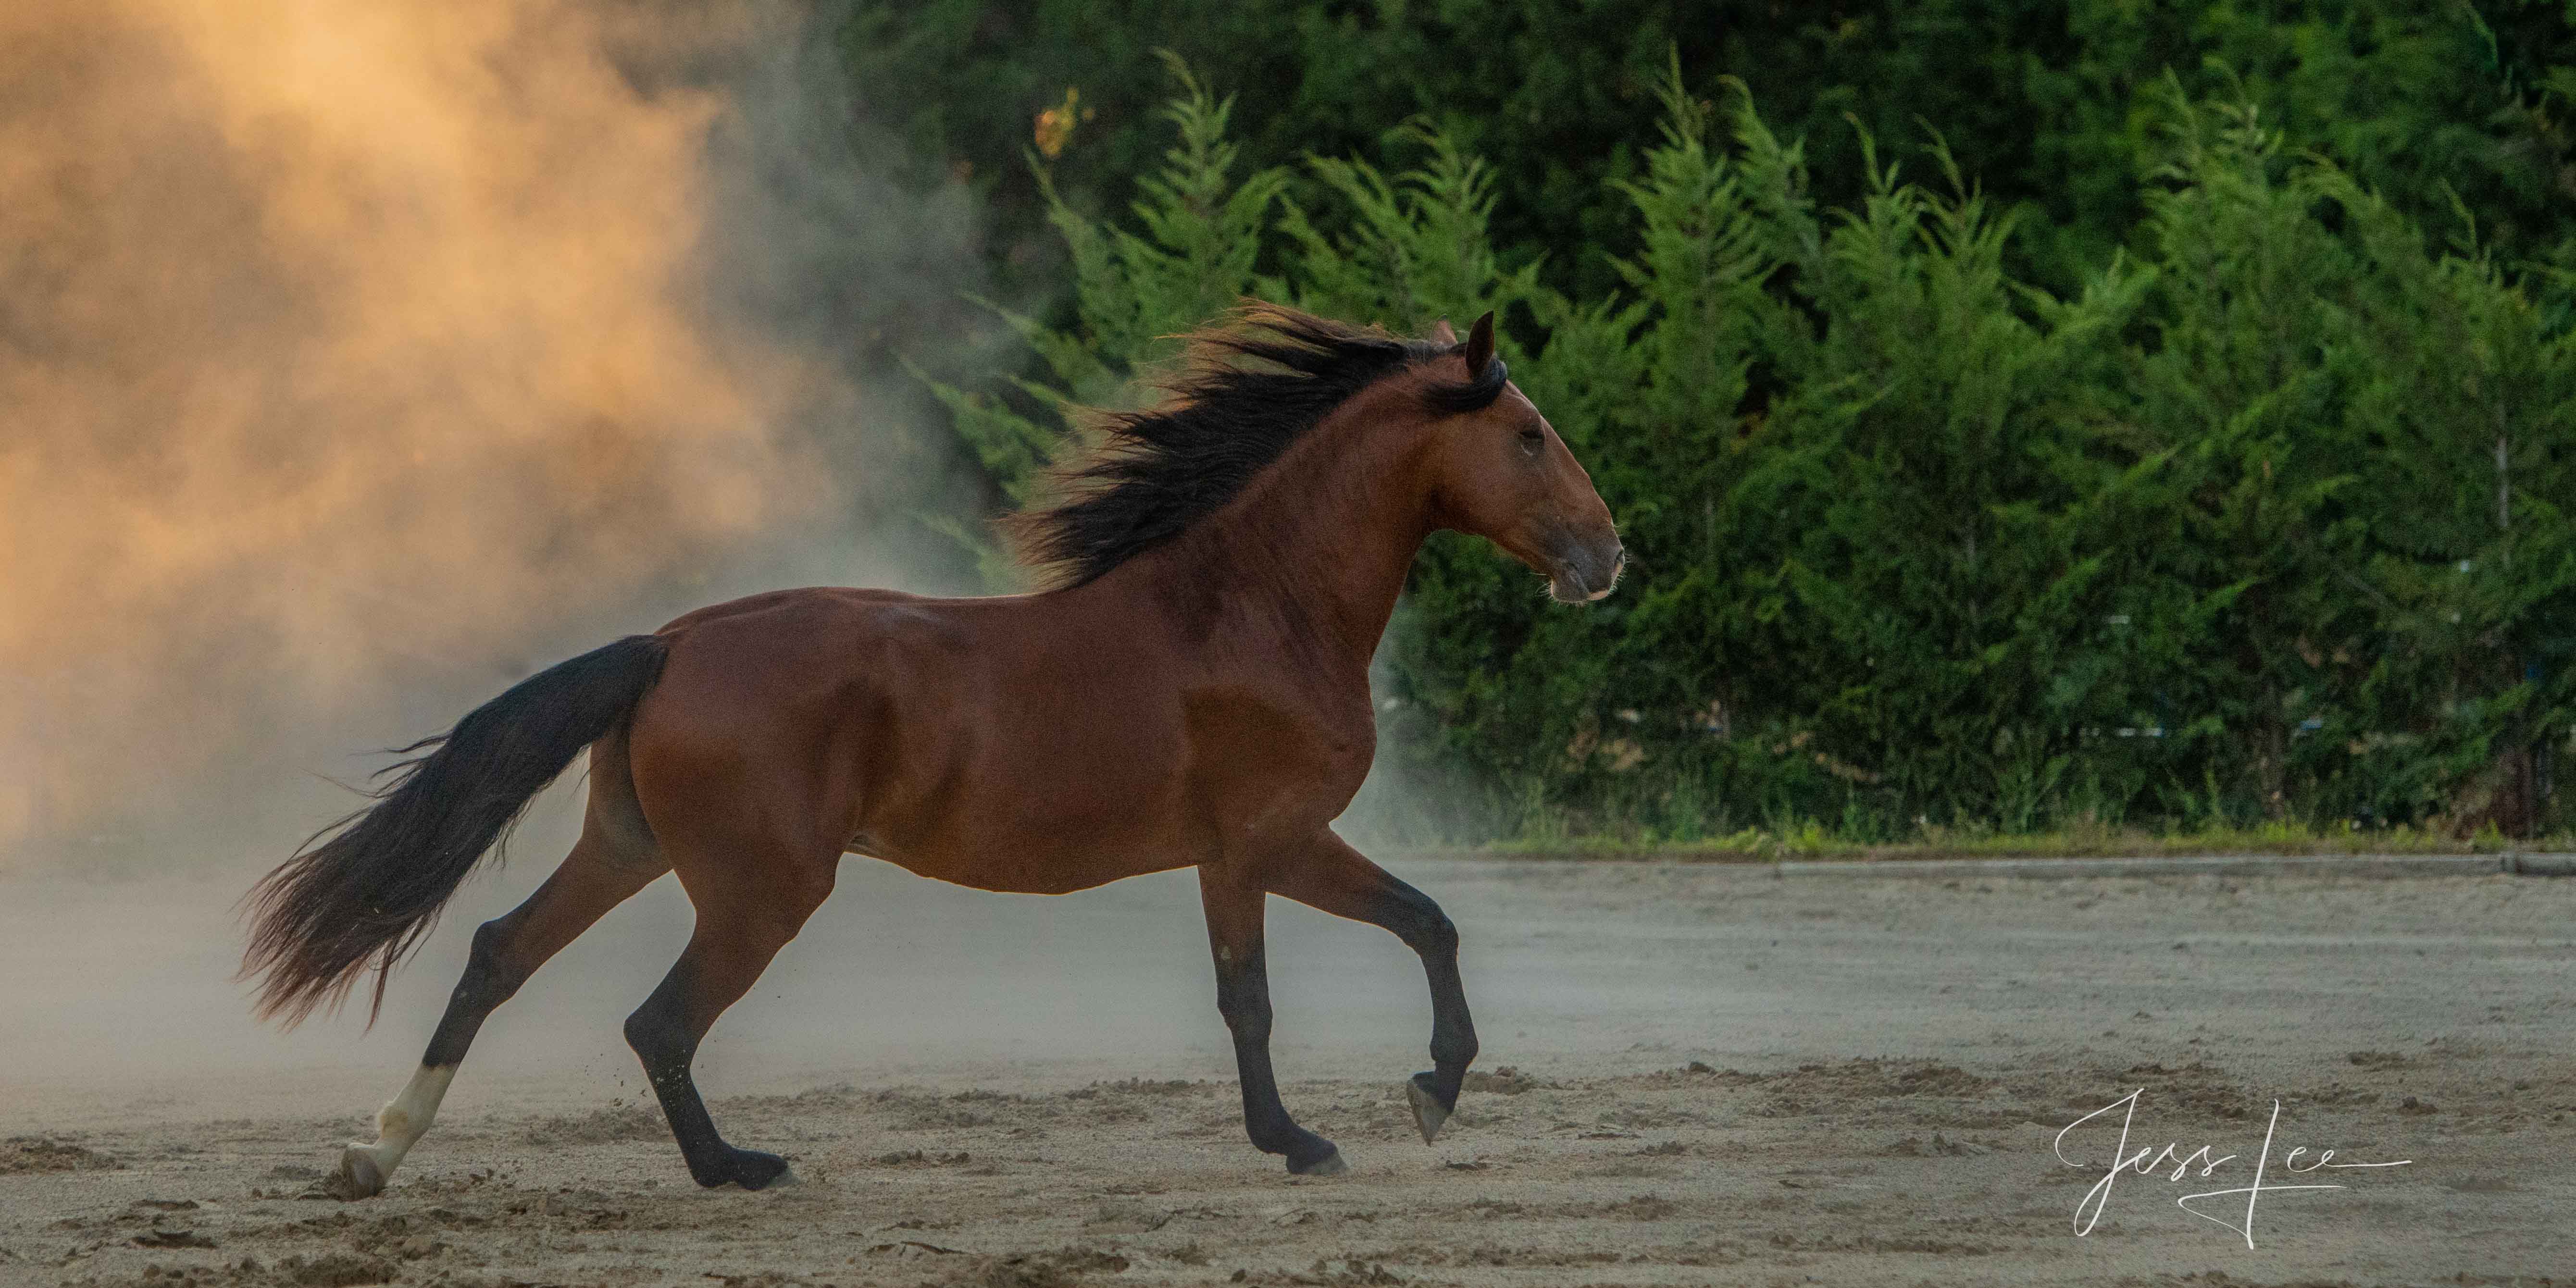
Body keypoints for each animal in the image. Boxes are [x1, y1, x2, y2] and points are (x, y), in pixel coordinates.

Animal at [242, 304, 1607, 1195]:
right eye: (1530, 434)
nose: (1609, 555)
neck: (1252, 604)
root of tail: (670, 643)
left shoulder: (1247, 853)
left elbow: (1336, 959)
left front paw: (1356, 1116)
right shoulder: (1267, 841)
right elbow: (1337, 963)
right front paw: (1390, 1108)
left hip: (629, 847)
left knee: (496, 954)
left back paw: (372, 1152)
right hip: (761, 889)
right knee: (657, 1020)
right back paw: (735, 1167)